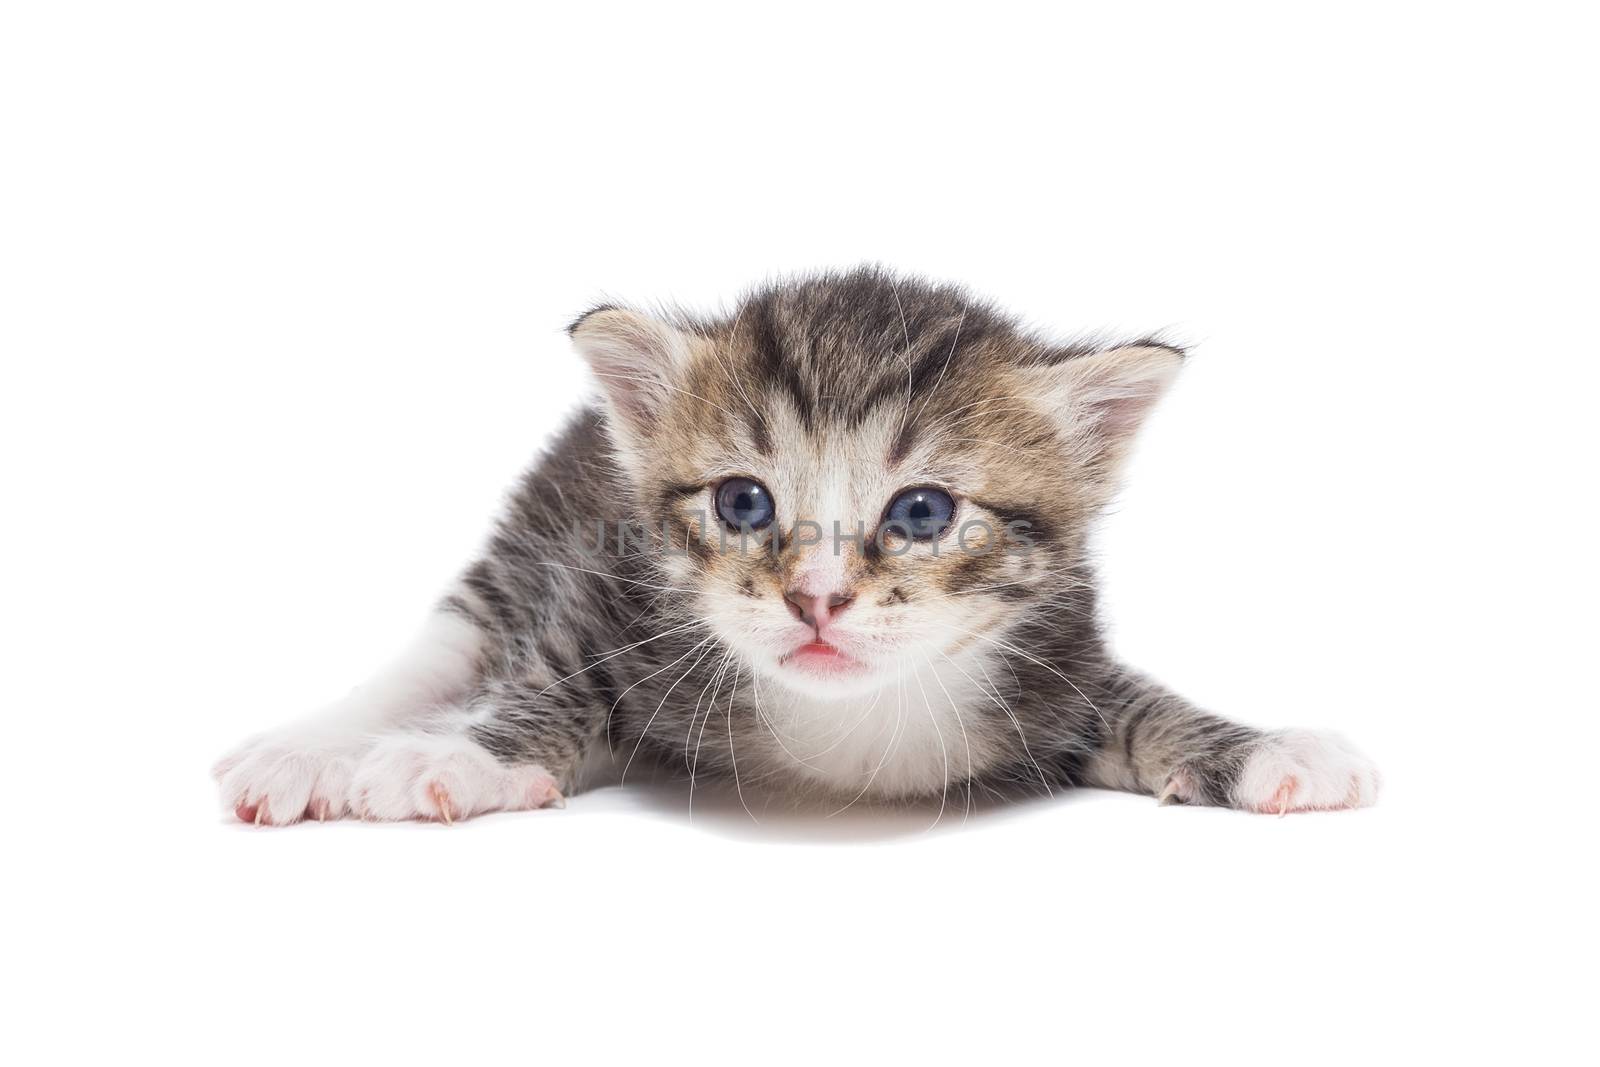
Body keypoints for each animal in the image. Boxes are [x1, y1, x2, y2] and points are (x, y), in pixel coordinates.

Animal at [219, 268, 1382, 825]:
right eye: (743, 503)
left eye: (922, 513)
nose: (816, 596)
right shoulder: (604, 595)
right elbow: (548, 682)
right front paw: (454, 754)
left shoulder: (1058, 656)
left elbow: (1144, 701)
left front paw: (1267, 747)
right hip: (522, 553)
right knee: (443, 653)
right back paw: (302, 753)